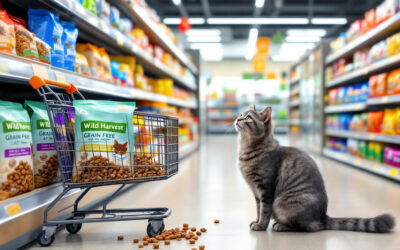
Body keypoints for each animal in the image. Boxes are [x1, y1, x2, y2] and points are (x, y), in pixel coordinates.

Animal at [236, 104, 396, 232]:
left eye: (248, 118)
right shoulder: (256, 192)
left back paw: (281, 226)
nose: (237, 119)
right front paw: (256, 221)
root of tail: (323, 216)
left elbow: (264, 211)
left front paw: (261, 225)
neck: (247, 149)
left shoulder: (265, 189)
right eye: (241, 114)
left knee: (310, 227)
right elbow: (258, 209)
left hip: (282, 204)